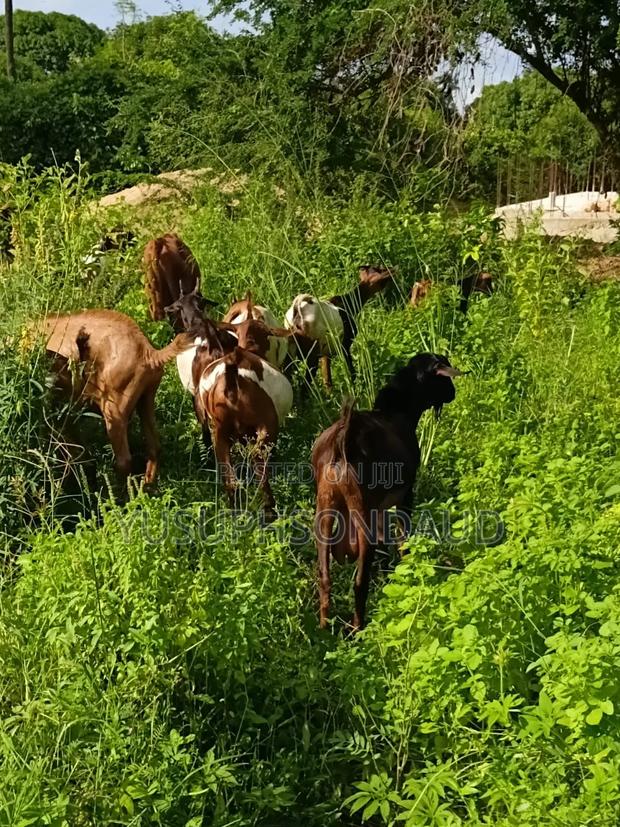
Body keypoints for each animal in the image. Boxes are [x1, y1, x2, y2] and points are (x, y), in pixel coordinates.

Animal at [312, 352, 463, 633]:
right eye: (443, 375)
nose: (452, 393)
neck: (396, 411)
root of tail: (343, 441)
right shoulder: (405, 495)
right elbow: (403, 539)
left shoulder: (380, 507)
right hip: (361, 512)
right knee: (360, 581)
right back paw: (358, 628)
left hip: (325, 508)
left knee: (325, 576)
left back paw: (324, 629)